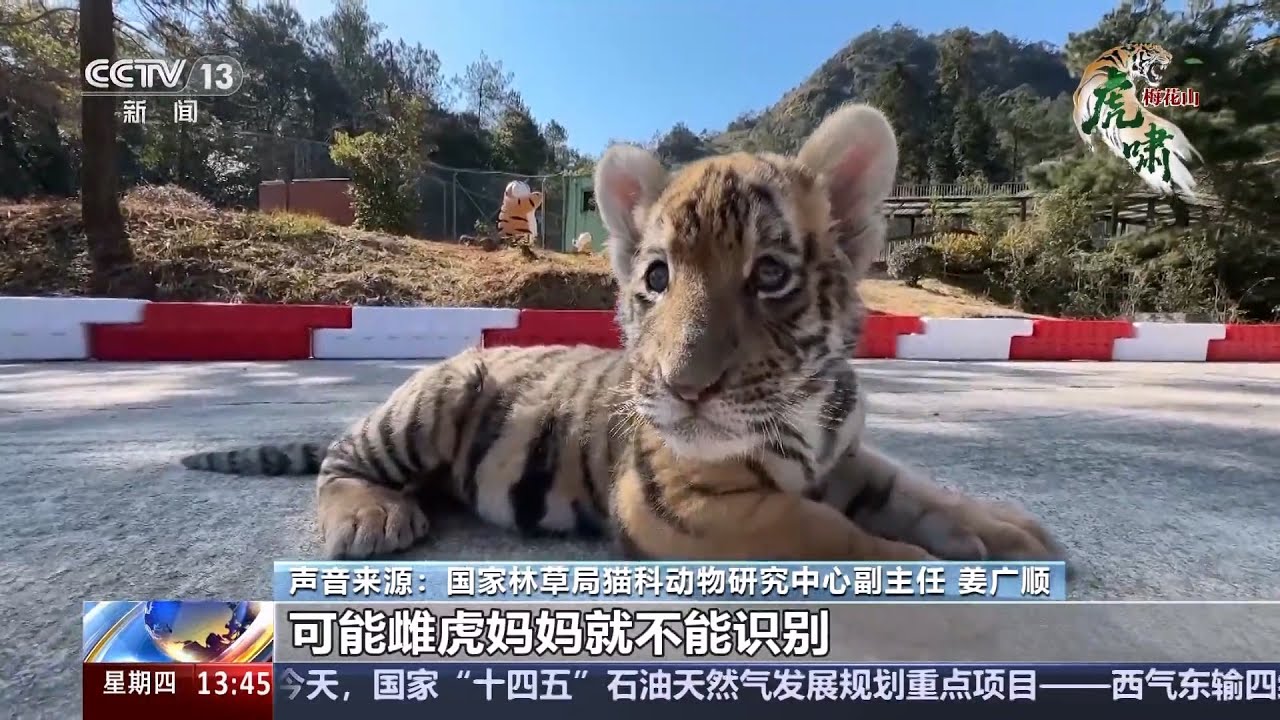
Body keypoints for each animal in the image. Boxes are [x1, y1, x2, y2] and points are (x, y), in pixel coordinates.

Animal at [181, 104, 1063, 563]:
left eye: (771, 275)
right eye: (658, 278)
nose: (682, 387)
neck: (805, 407)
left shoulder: (844, 454)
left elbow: (908, 488)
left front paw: (998, 527)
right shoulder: (683, 500)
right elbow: (819, 529)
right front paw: (913, 568)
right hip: (426, 405)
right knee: (342, 457)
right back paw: (372, 516)